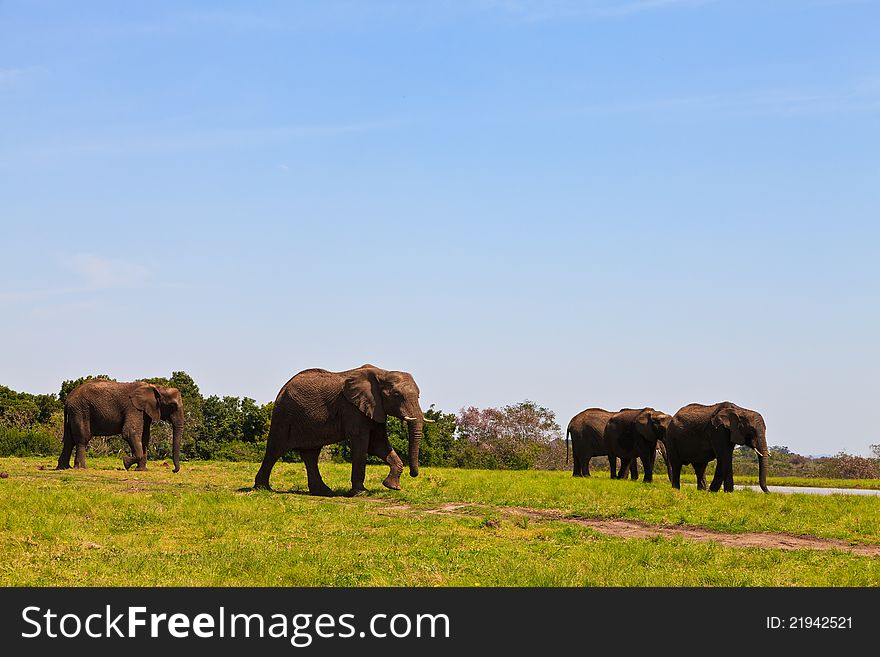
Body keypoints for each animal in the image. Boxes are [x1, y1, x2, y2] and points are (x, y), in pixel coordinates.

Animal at [55, 380, 184, 472]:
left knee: (69, 441)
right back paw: (81, 468)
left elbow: (145, 437)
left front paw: (141, 470)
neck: (156, 387)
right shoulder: (134, 408)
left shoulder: (144, 412)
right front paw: (125, 462)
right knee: (82, 438)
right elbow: (130, 433)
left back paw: (63, 468)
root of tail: (67, 399)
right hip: (81, 410)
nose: (173, 470)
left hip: (74, 412)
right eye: (172, 406)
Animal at [253, 362, 428, 494]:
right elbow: (362, 444)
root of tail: (283, 387)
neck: (382, 373)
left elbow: (378, 444)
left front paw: (392, 486)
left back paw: (323, 492)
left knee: (310, 454)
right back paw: (262, 489)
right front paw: (360, 493)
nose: (414, 474)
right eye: (397, 395)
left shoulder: (375, 409)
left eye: (419, 396)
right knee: (275, 450)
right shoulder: (352, 408)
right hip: (284, 415)